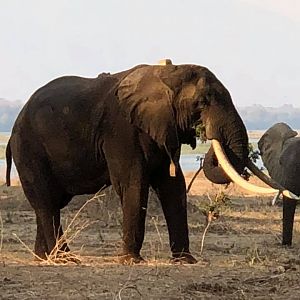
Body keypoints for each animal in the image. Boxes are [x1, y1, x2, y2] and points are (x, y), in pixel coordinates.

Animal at [4, 62, 282, 264]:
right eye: (202, 102)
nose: (204, 133)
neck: (167, 72)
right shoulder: (121, 130)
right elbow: (133, 183)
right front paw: (131, 261)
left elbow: (173, 186)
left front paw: (185, 260)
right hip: (28, 149)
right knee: (46, 202)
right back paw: (65, 260)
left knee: (50, 203)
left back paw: (44, 258)